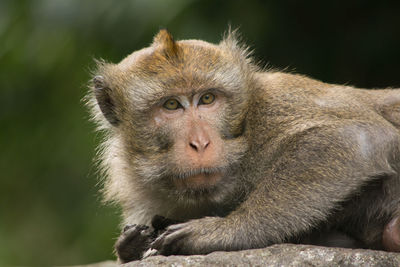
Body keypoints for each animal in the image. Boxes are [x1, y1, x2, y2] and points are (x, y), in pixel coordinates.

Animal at [87, 29, 400, 264]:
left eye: (207, 99)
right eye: (172, 105)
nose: (200, 143)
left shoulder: (276, 103)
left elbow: (352, 136)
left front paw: (225, 229)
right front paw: (131, 246)